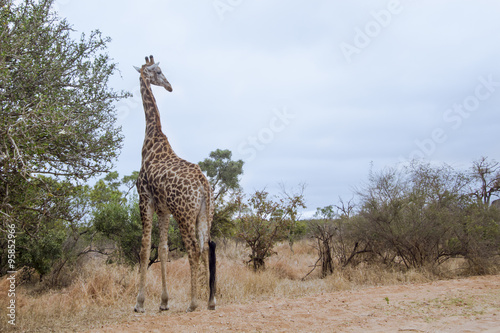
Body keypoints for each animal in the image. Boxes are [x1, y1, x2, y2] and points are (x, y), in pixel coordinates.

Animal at [134, 54, 216, 312]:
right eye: (159, 71)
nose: (169, 86)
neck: (151, 139)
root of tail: (203, 184)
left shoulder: (144, 199)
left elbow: (144, 248)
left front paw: (139, 303)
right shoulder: (163, 209)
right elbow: (162, 249)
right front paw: (163, 302)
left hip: (184, 214)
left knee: (193, 249)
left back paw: (193, 302)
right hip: (204, 213)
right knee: (205, 246)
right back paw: (210, 300)